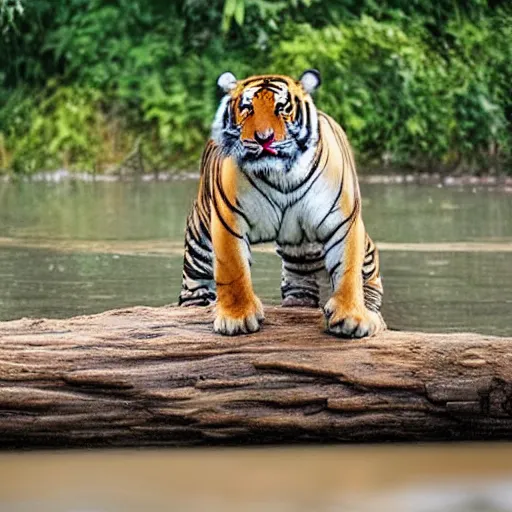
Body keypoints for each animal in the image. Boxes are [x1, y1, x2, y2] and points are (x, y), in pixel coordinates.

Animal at [179, 69, 384, 340]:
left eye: (282, 108)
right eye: (247, 108)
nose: (264, 139)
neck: (282, 176)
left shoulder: (343, 221)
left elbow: (349, 270)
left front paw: (352, 317)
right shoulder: (229, 218)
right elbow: (233, 269)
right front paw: (237, 318)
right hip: (199, 243)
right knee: (194, 287)